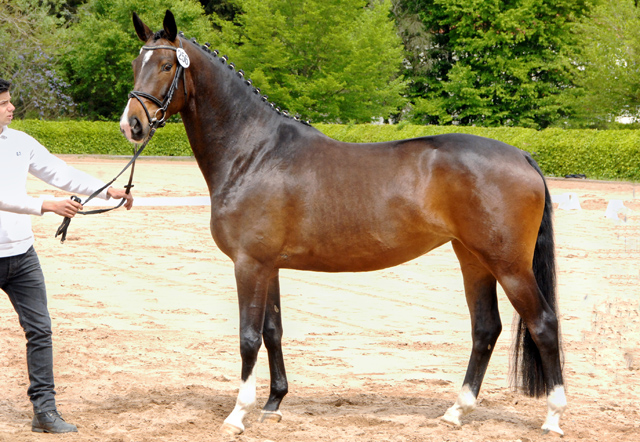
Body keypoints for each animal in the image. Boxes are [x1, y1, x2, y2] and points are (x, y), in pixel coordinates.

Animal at [119, 11, 564, 438]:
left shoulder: (249, 264)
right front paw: (274, 404)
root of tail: (522, 155)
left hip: (509, 265)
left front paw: (238, 414)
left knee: (543, 324)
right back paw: (457, 411)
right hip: (473, 258)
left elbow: (248, 337)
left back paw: (553, 418)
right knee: (485, 328)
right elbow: (273, 331)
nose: (131, 125)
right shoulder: (269, 266)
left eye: (165, 65)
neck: (254, 152)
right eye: (136, 64)